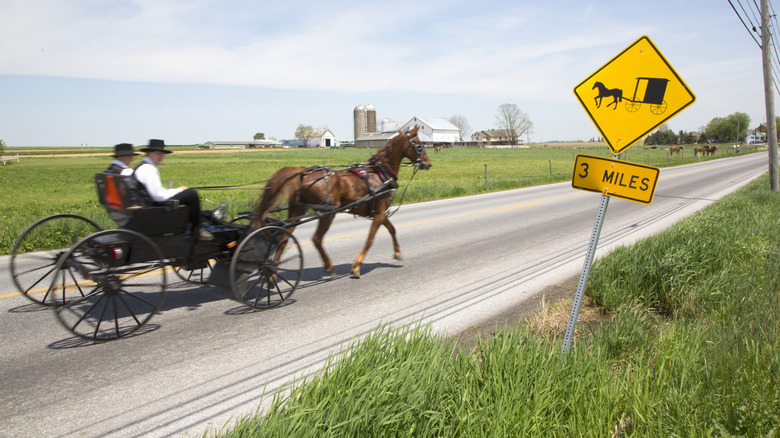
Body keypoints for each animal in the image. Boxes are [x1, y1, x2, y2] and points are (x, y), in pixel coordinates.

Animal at [251, 126, 430, 278]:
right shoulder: (379, 213)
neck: (381, 172)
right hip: (327, 213)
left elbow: (392, 229)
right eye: (420, 145)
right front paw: (357, 266)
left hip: (297, 211)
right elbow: (370, 239)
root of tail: (302, 173)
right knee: (316, 239)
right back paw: (328, 266)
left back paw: (273, 275)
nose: (428, 163)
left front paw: (397, 252)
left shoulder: (379, 213)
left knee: (283, 238)